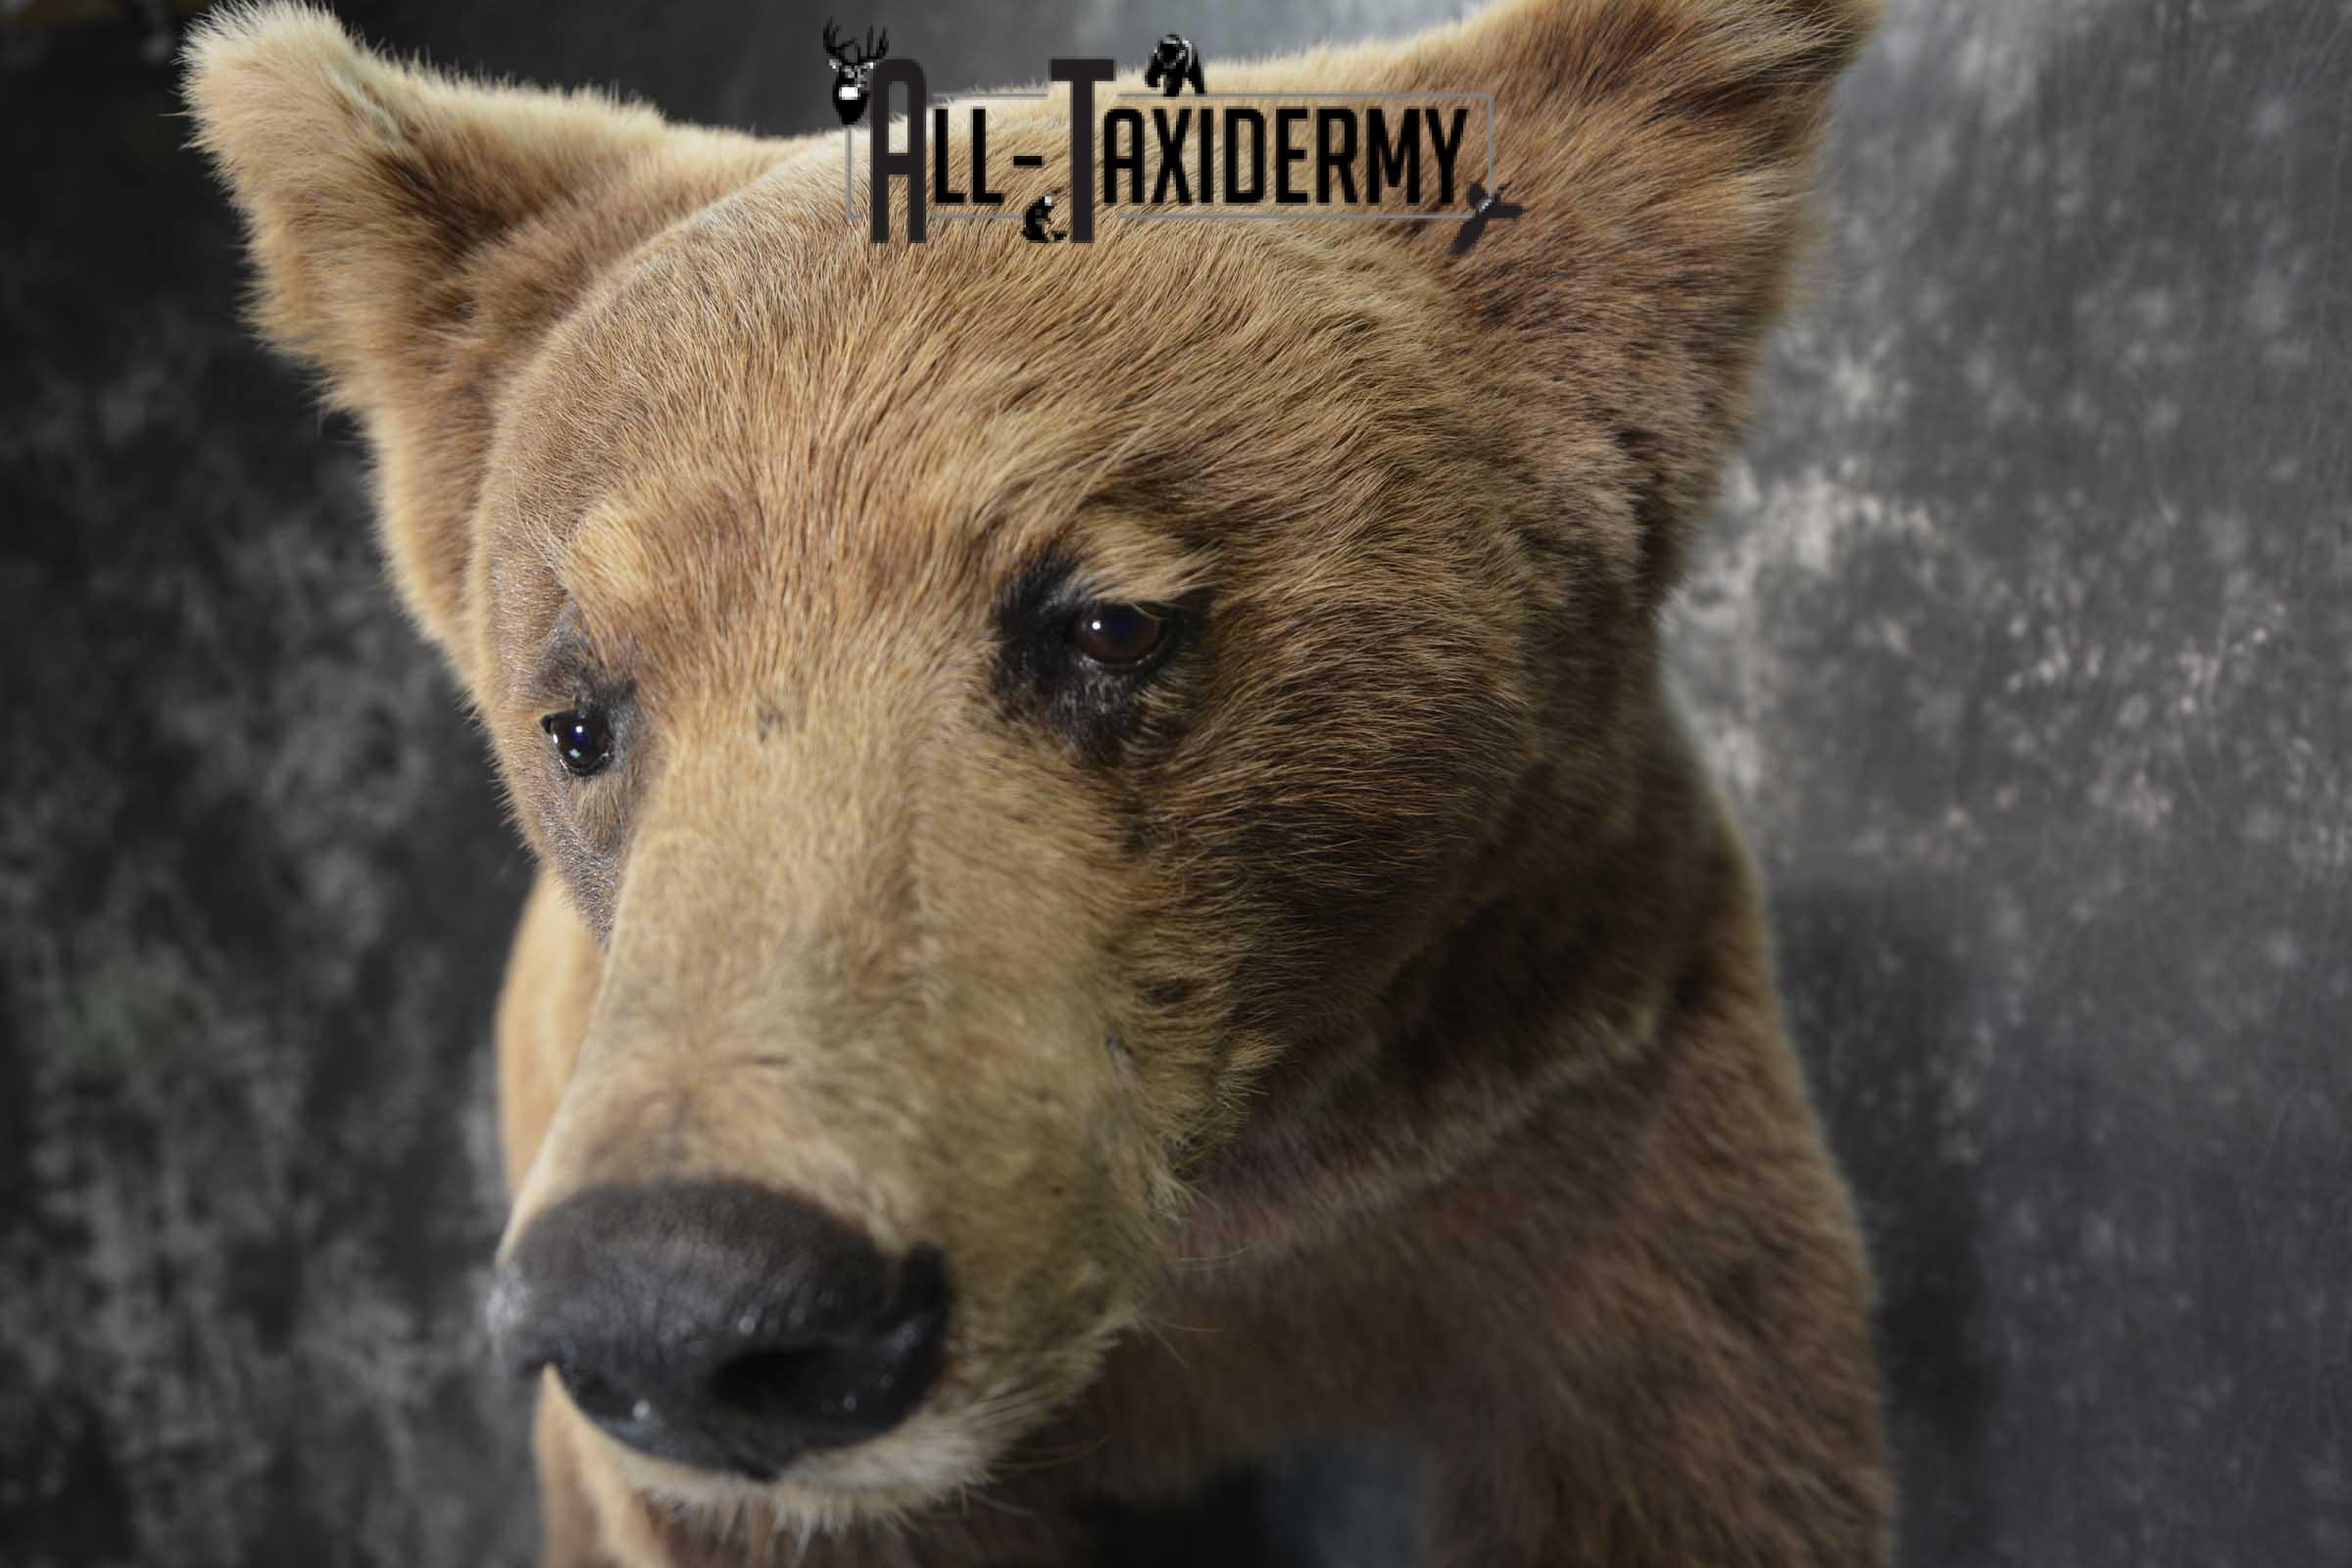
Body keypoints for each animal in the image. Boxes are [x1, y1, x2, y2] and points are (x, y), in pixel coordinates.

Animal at [183, 1, 1891, 1563]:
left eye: (1106, 622)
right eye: (580, 717)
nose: (686, 1305)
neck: (1228, 1212)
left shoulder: (1573, 1083)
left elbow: (1698, 1433)